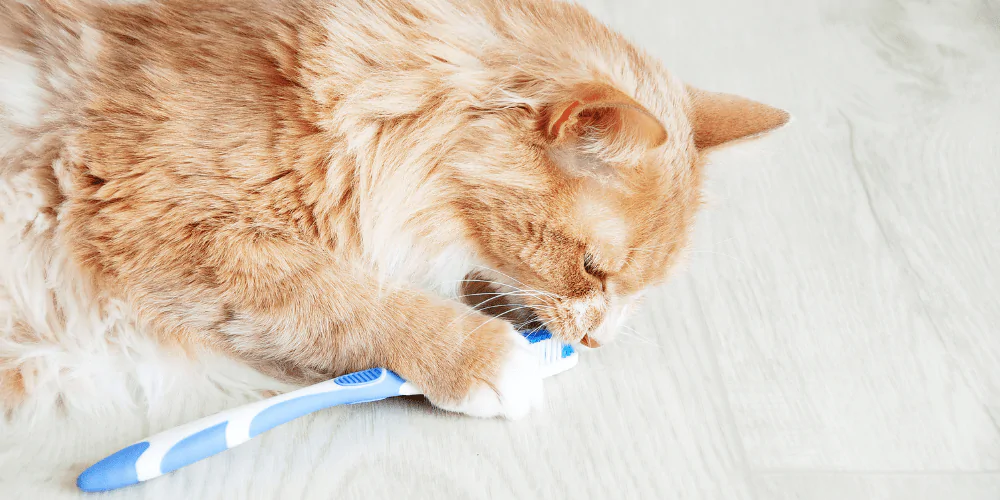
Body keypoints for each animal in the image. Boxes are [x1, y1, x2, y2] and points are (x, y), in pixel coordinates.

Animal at [0, 0, 784, 420]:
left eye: (642, 288)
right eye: (593, 268)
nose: (594, 344)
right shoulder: (154, 217)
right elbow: (346, 300)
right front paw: (484, 354)